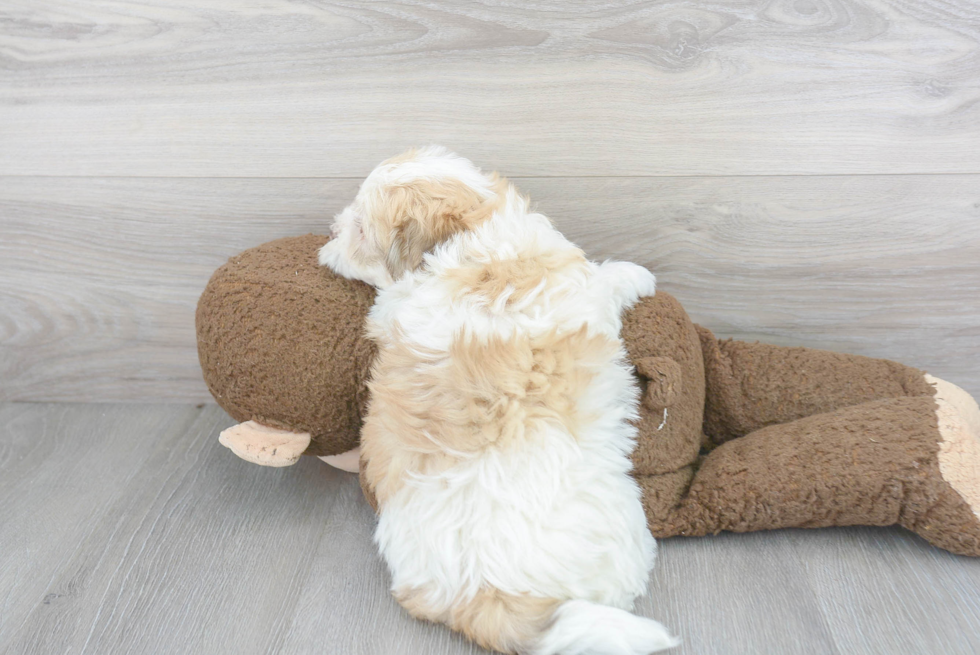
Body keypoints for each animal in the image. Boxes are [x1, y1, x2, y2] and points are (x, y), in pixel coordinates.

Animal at [320, 149, 672, 655]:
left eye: (361, 229)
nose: (330, 230)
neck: (474, 230)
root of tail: (485, 594)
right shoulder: (584, 288)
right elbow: (605, 279)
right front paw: (635, 274)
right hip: (623, 535)